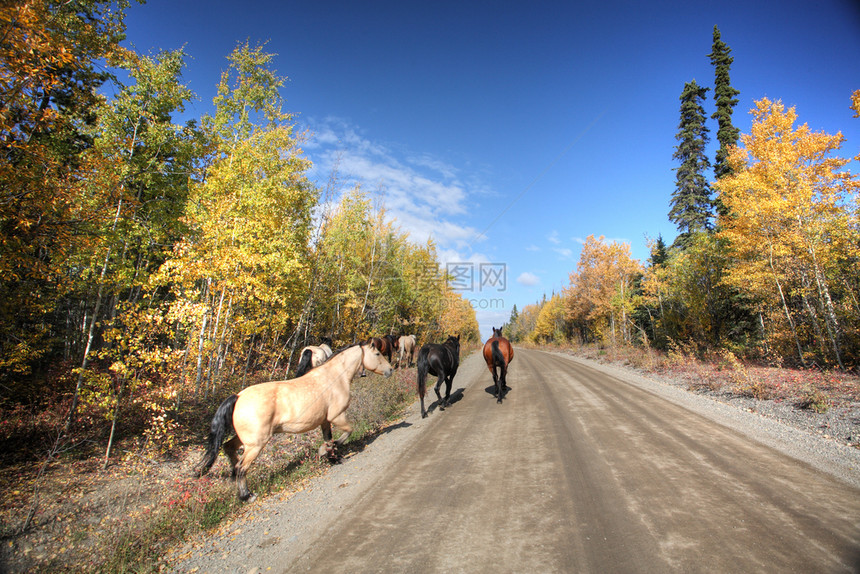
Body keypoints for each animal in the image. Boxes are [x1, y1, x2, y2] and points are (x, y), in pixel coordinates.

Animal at [196, 344, 394, 502]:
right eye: (377, 354)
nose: (390, 370)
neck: (335, 377)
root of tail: (238, 396)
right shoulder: (337, 416)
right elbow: (346, 432)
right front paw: (325, 453)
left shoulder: (324, 421)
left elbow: (329, 439)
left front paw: (333, 457)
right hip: (256, 445)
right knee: (241, 467)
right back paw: (247, 495)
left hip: (247, 440)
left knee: (228, 448)